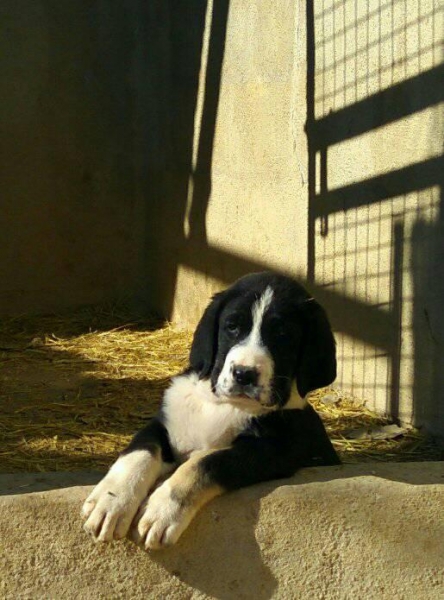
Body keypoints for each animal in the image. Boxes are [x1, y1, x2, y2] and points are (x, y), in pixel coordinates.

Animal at [82, 272, 340, 548]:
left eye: (282, 334)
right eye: (232, 326)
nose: (244, 374)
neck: (223, 405)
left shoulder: (275, 450)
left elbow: (204, 463)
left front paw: (162, 510)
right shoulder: (165, 425)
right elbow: (140, 452)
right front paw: (111, 501)